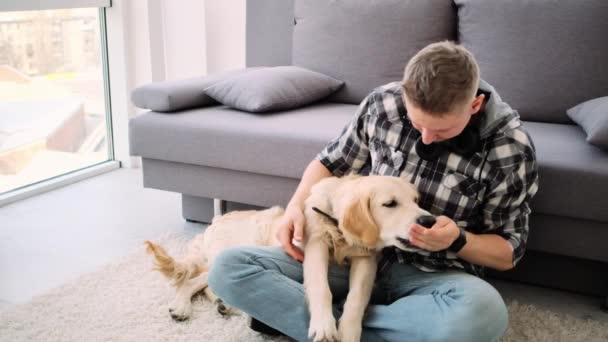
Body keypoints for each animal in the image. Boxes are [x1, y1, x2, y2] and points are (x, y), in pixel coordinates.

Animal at [144, 175, 430, 336]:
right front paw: (324, 325)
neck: (337, 225)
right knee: (195, 280)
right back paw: (182, 307)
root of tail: (216, 220)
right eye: (390, 204)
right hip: (234, 248)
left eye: (417, 200)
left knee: (206, 284)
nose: (428, 220)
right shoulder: (313, 244)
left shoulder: (365, 258)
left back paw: (224, 305)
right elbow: (320, 287)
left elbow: (356, 299)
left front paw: (348, 332)